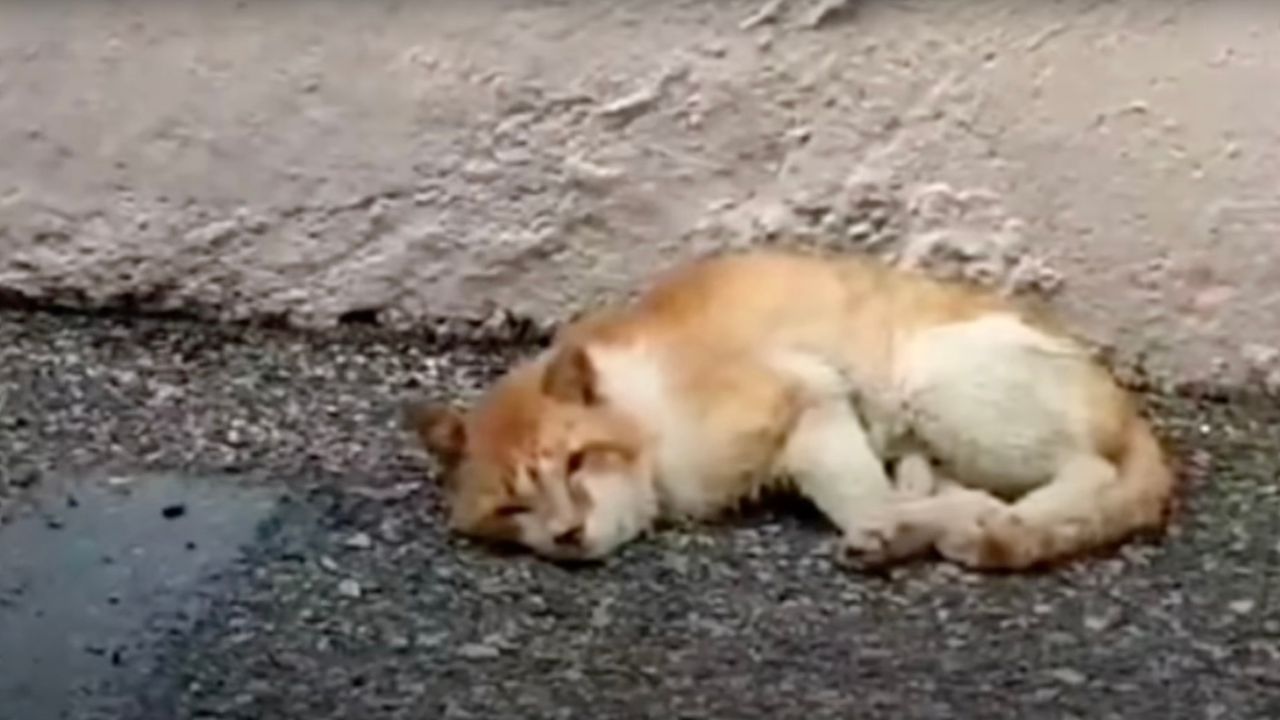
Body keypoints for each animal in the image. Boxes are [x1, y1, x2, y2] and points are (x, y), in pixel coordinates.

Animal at [404, 249, 1172, 568]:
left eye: (576, 462)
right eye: (512, 508)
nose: (566, 534)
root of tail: (1128, 408)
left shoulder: (811, 395)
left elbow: (858, 494)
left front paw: (884, 532)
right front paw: (906, 522)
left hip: (935, 375)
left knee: (1086, 475)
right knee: (969, 488)